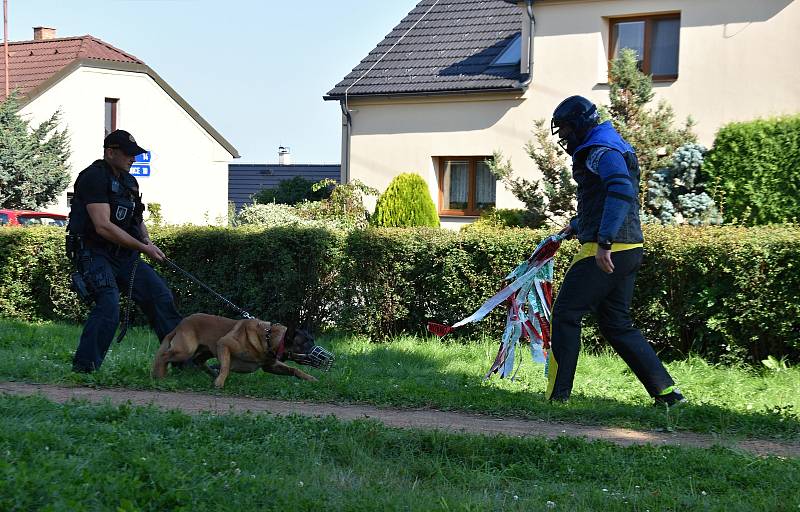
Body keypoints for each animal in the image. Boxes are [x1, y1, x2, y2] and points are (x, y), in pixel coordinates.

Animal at [152, 312, 332, 388]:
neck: (268, 338)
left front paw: (310, 378)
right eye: (306, 344)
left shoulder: (271, 366)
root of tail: (180, 325)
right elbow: (225, 366)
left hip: (205, 351)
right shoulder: (224, 344)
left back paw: (212, 372)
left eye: (312, 340)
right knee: (163, 357)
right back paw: (160, 376)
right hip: (186, 350)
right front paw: (220, 381)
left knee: (199, 361)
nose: (327, 358)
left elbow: (294, 369)